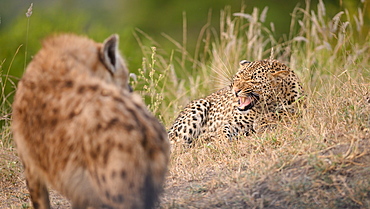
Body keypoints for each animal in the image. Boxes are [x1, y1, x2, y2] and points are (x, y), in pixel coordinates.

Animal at [169, 58, 304, 145]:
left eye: (251, 80)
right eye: (238, 77)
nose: (234, 90)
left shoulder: (301, 107)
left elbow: (285, 113)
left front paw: (264, 121)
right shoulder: (233, 121)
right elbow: (223, 130)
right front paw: (219, 139)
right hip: (199, 105)